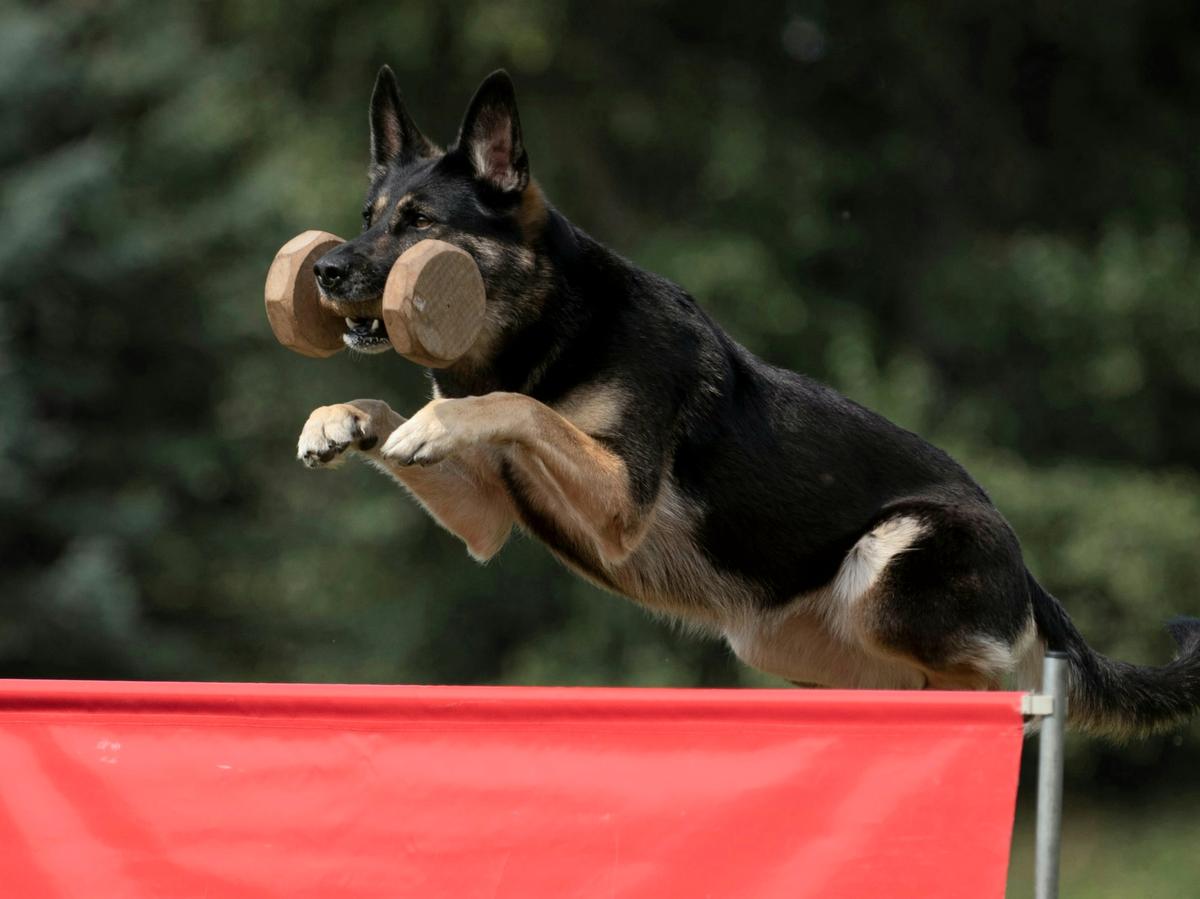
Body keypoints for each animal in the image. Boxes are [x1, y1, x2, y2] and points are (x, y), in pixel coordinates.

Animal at [292, 68, 1200, 734]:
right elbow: (393, 412)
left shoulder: (618, 499)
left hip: (888, 560)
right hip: (796, 650)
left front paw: (439, 418)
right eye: (368, 216)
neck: (542, 324)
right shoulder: (486, 517)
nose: (326, 270)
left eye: (418, 223)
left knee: (987, 682)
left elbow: (522, 406)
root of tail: (1027, 568)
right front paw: (338, 420)